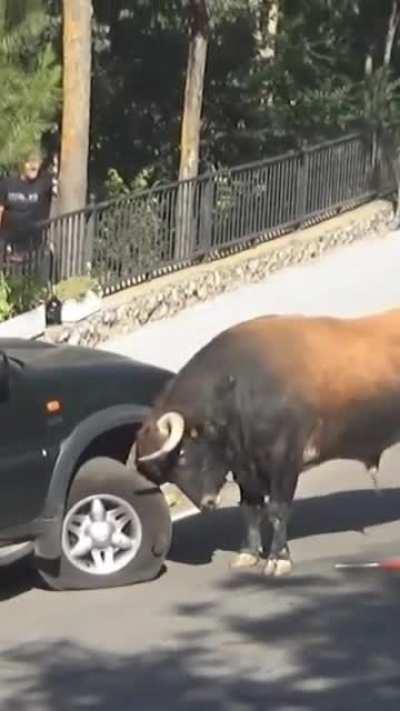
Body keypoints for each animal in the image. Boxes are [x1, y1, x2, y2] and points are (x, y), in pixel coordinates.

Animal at [135, 309, 400, 577]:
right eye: (167, 474)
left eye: (182, 455)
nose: (208, 503)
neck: (236, 389)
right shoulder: (245, 470)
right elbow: (251, 510)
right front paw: (248, 554)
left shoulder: (284, 461)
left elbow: (277, 509)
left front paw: (278, 558)